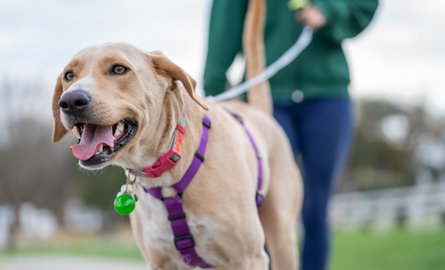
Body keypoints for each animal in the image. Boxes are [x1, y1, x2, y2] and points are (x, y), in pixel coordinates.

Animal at [52, 0, 302, 268]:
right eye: (69, 75)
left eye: (119, 69)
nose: (70, 101)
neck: (167, 171)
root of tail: (258, 112)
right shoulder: (160, 261)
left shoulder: (249, 258)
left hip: (283, 241)